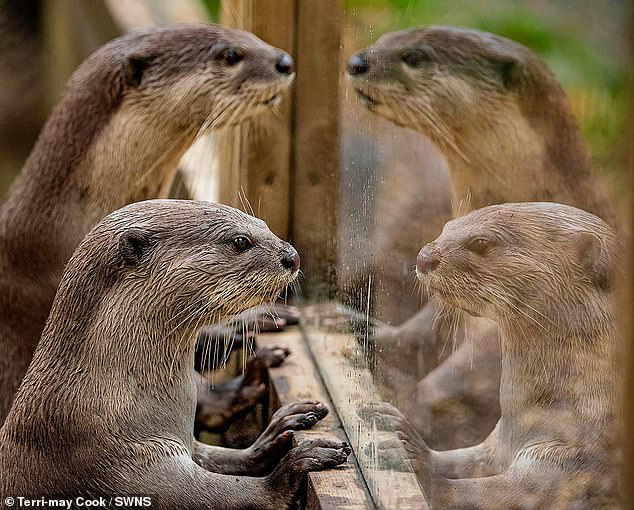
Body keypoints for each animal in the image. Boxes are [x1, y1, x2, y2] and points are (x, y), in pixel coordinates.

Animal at [0, 23, 296, 422]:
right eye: (230, 55)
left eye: (246, 35)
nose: (285, 61)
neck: (56, 233)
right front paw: (233, 392)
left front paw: (245, 322)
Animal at [0, 200, 348, 510]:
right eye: (240, 241)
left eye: (263, 224)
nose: (292, 256)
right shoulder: (122, 461)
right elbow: (215, 495)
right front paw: (293, 468)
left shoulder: (182, 441)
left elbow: (223, 458)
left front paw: (277, 432)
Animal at [348, 26, 616, 446]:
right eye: (384, 39)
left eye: (416, 56)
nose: (357, 61)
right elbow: (424, 330)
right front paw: (360, 327)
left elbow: (471, 377)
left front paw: (406, 408)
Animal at [368, 204, 620, 510]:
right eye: (447, 226)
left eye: (481, 243)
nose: (424, 257)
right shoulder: (498, 442)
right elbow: (469, 458)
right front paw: (402, 431)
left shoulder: (572, 459)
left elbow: (498, 493)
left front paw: (416, 468)